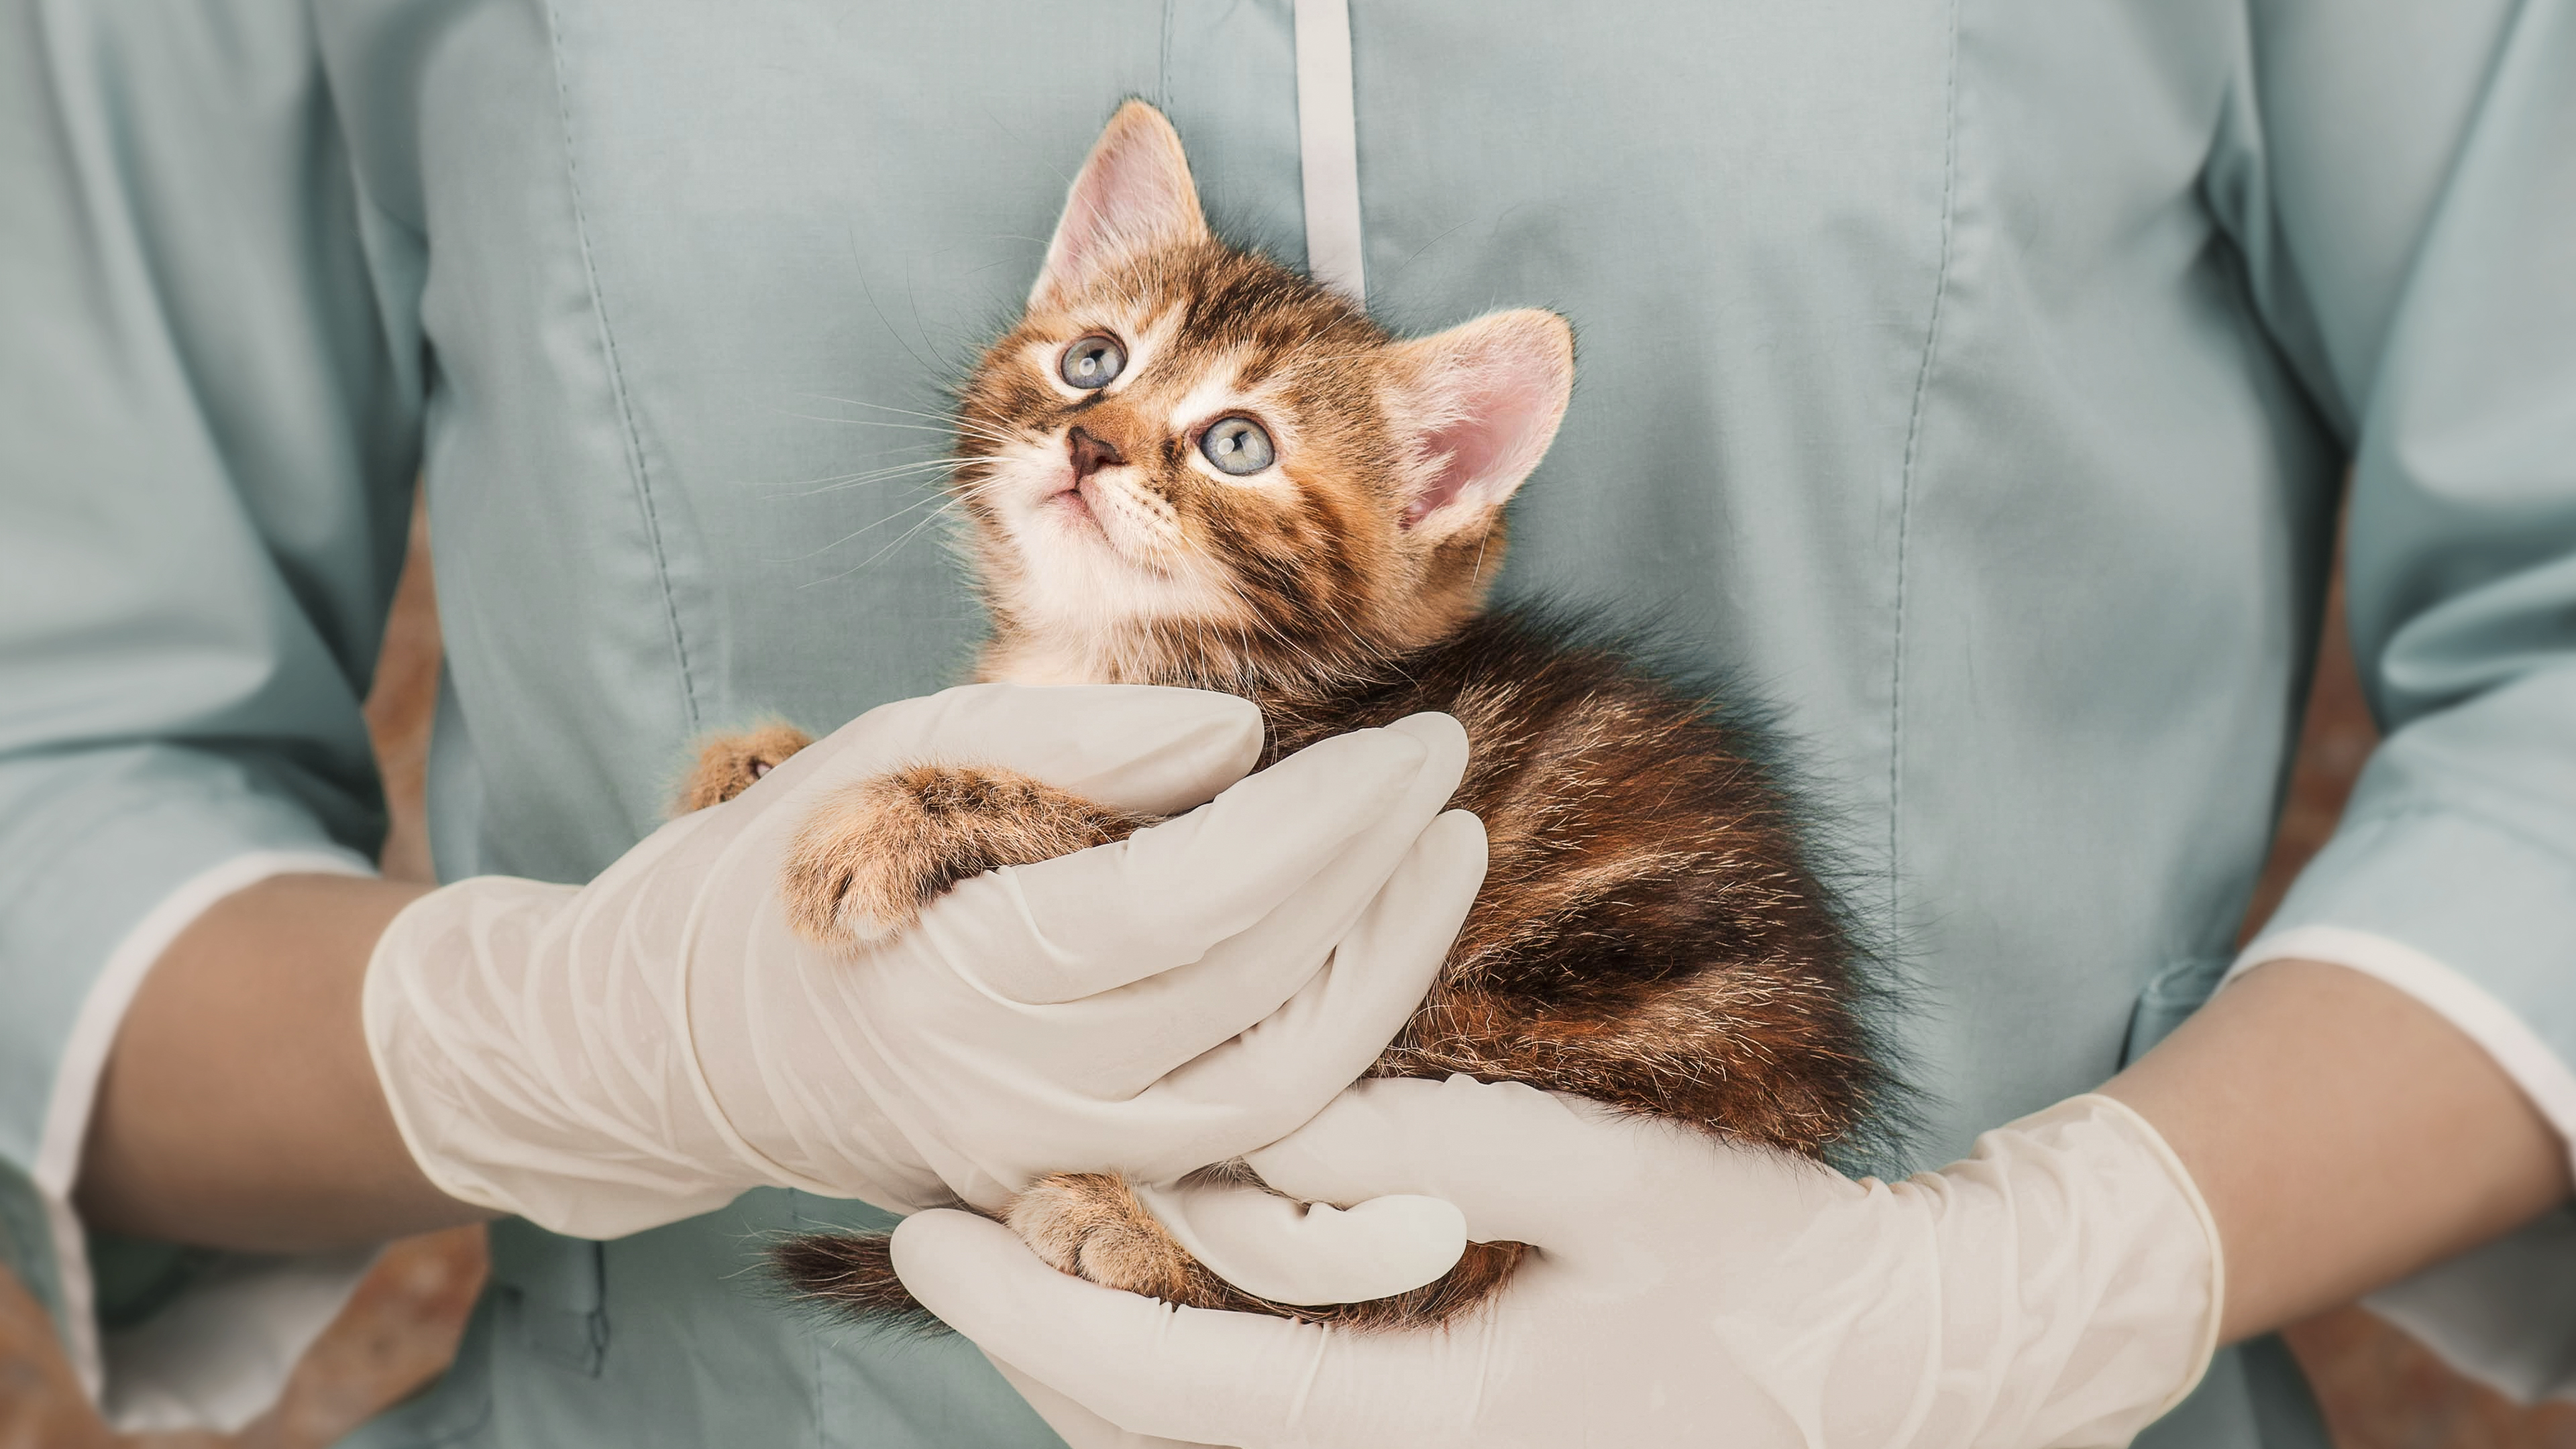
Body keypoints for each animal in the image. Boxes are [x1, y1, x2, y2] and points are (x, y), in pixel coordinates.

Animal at [685, 99, 1896, 1320]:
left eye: (1238, 445)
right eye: (1092, 360)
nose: (1091, 440)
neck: (1101, 659)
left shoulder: (1280, 830)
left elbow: (1068, 817)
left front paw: (881, 819)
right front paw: (752, 767)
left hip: (1537, 1043)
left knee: (1412, 1251)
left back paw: (1131, 1228)